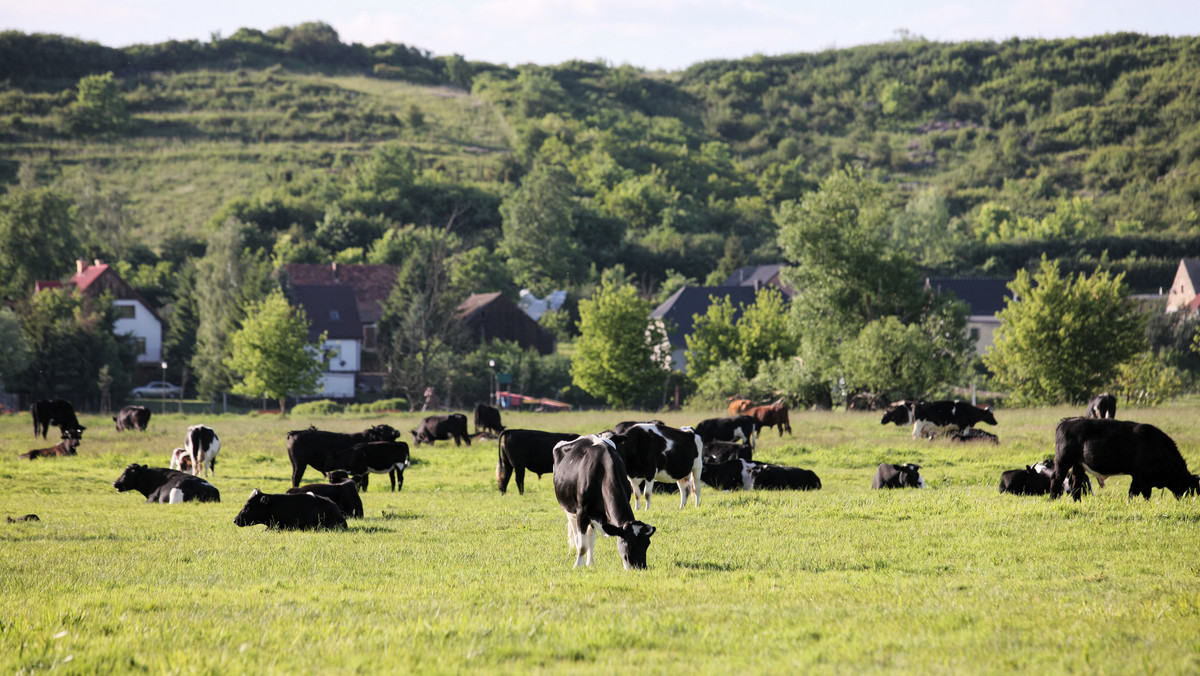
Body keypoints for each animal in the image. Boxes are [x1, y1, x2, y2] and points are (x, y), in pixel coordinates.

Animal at [552, 434, 657, 571]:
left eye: (647, 544)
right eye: (629, 545)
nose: (641, 568)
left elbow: (589, 542)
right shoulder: (582, 514)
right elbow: (582, 546)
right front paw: (577, 566)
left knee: (591, 538)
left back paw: (590, 563)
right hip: (569, 511)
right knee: (577, 537)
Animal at [1051, 417, 1200, 501]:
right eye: (1193, 488)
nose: (1191, 501)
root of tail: (1067, 421)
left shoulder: (1137, 477)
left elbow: (1132, 493)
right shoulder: (1143, 478)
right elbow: (1145, 494)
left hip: (1078, 465)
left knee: (1075, 484)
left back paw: (1077, 502)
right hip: (1063, 462)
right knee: (1056, 479)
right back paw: (1053, 499)